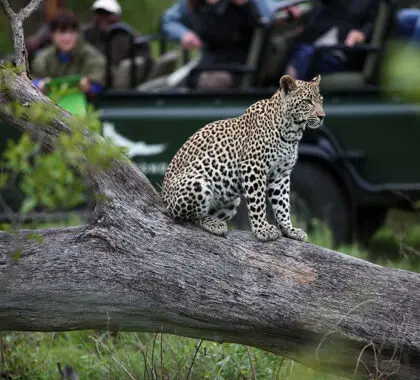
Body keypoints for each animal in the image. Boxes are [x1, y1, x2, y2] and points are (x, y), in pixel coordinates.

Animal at [161, 74, 324, 240]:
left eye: (321, 101)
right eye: (308, 102)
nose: (322, 116)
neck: (292, 131)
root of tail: (164, 199)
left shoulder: (281, 175)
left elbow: (283, 204)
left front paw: (289, 230)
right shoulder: (253, 166)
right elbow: (257, 201)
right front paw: (263, 229)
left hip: (231, 200)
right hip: (197, 183)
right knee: (189, 217)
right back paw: (214, 224)